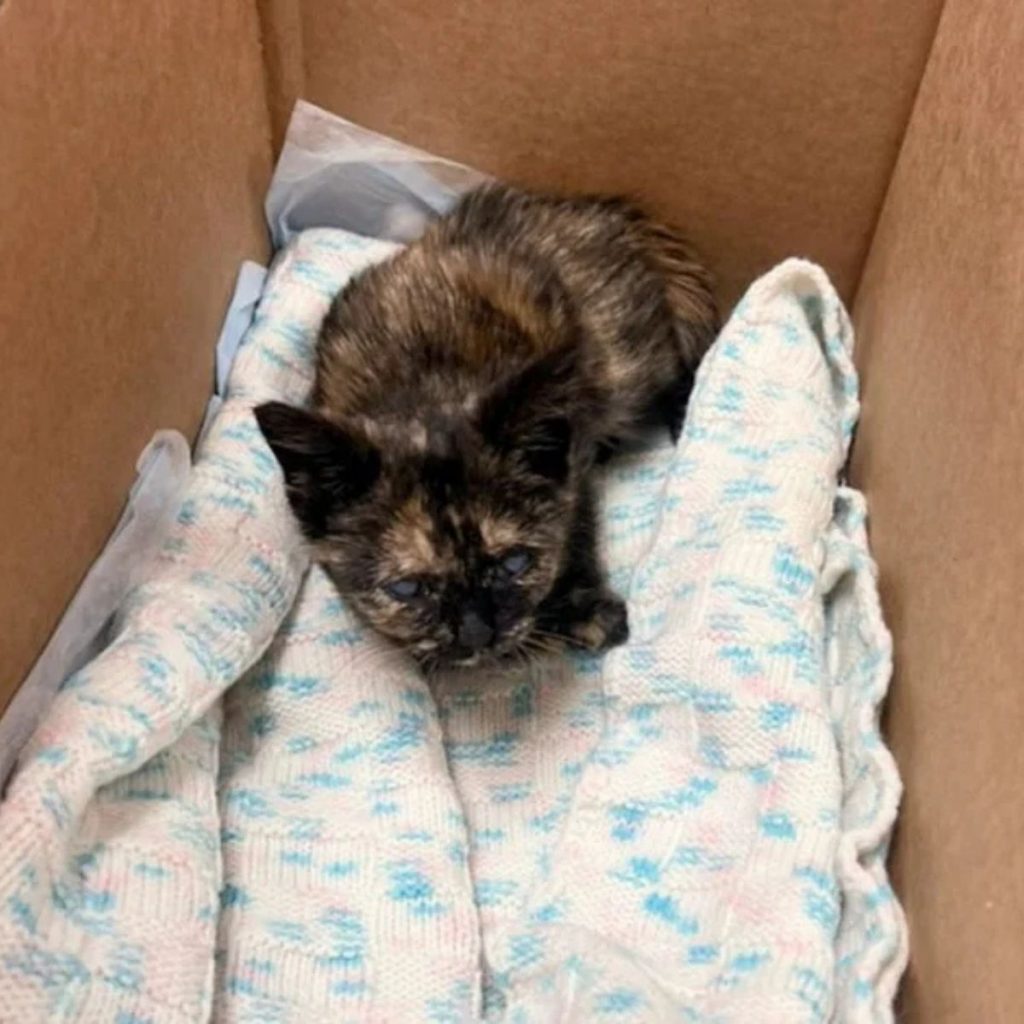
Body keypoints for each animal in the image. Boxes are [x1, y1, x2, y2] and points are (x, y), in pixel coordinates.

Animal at [256, 184, 720, 671]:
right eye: (407, 588)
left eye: (514, 563)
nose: (476, 634)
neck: (424, 388)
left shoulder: (575, 460)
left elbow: (577, 522)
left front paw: (583, 607)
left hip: (627, 358)